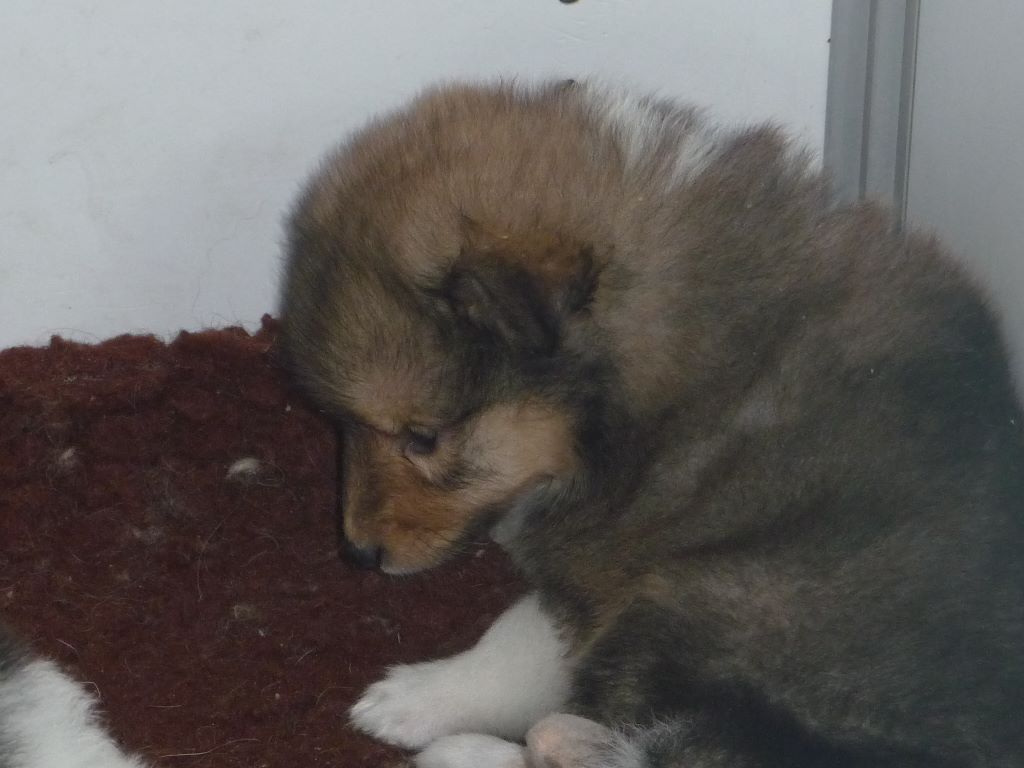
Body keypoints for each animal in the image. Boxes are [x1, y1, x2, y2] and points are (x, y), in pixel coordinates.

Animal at [279, 80, 1024, 767]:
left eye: (422, 438)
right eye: (339, 425)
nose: (358, 554)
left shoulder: (622, 560)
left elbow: (521, 633)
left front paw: (413, 700)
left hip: (718, 603)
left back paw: (468, 751)